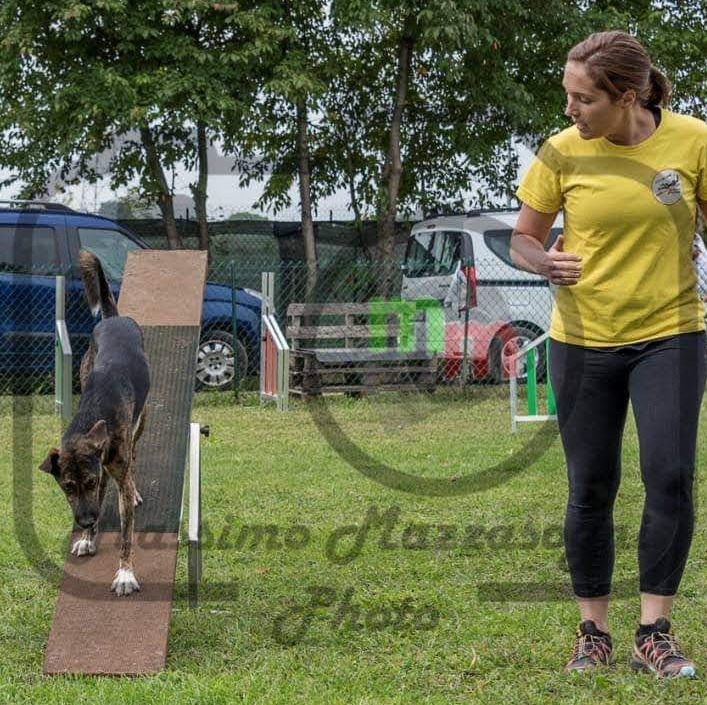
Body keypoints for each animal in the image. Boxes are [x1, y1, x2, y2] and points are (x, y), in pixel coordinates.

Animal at [40, 250, 149, 596]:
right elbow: (102, 498)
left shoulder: (109, 468)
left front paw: (125, 574)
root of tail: (113, 319)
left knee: (133, 463)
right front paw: (88, 540)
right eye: (67, 487)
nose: (86, 523)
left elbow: (126, 535)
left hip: (142, 421)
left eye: (87, 482)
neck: (94, 413)